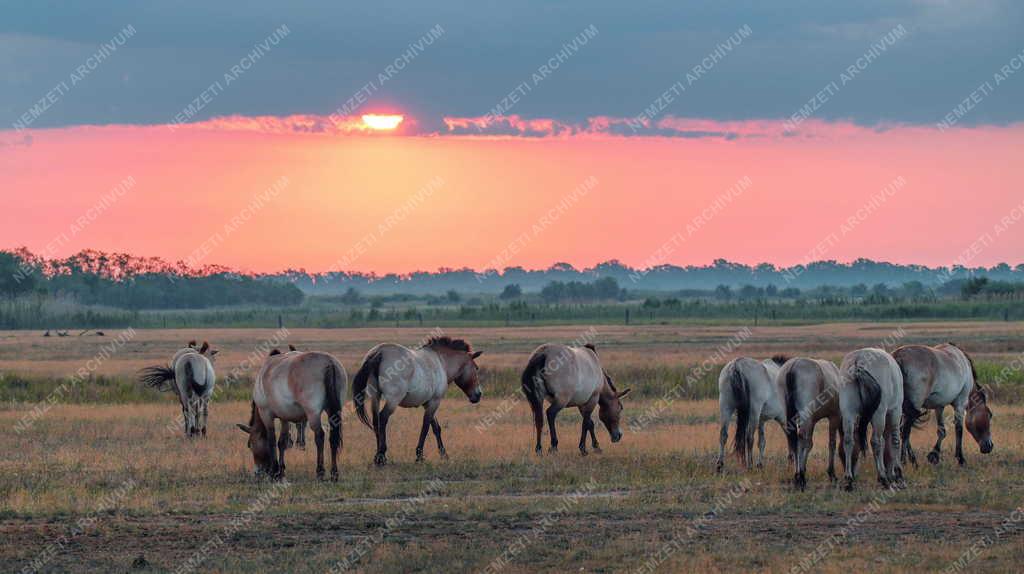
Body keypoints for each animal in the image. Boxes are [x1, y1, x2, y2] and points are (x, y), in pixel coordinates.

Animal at [235, 349, 348, 478]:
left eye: (250, 445)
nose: (258, 472)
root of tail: (329, 362)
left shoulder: (266, 414)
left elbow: (271, 440)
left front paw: (274, 471)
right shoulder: (284, 417)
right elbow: (282, 442)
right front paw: (281, 470)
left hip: (313, 414)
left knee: (319, 436)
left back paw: (320, 471)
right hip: (333, 412)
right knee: (333, 438)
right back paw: (334, 473)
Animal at [352, 333, 483, 462]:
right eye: (476, 368)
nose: (478, 395)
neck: (441, 362)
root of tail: (379, 352)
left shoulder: (427, 403)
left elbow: (436, 428)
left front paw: (443, 454)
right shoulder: (435, 402)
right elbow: (425, 427)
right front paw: (419, 455)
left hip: (375, 397)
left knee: (376, 421)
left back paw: (377, 456)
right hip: (393, 400)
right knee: (383, 418)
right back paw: (381, 455)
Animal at [839, 347, 905, 491]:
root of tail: (858, 361)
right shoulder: (895, 411)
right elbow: (895, 441)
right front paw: (897, 475)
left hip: (848, 413)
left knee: (848, 440)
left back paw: (849, 479)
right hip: (879, 414)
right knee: (875, 441)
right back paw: (883, 478)